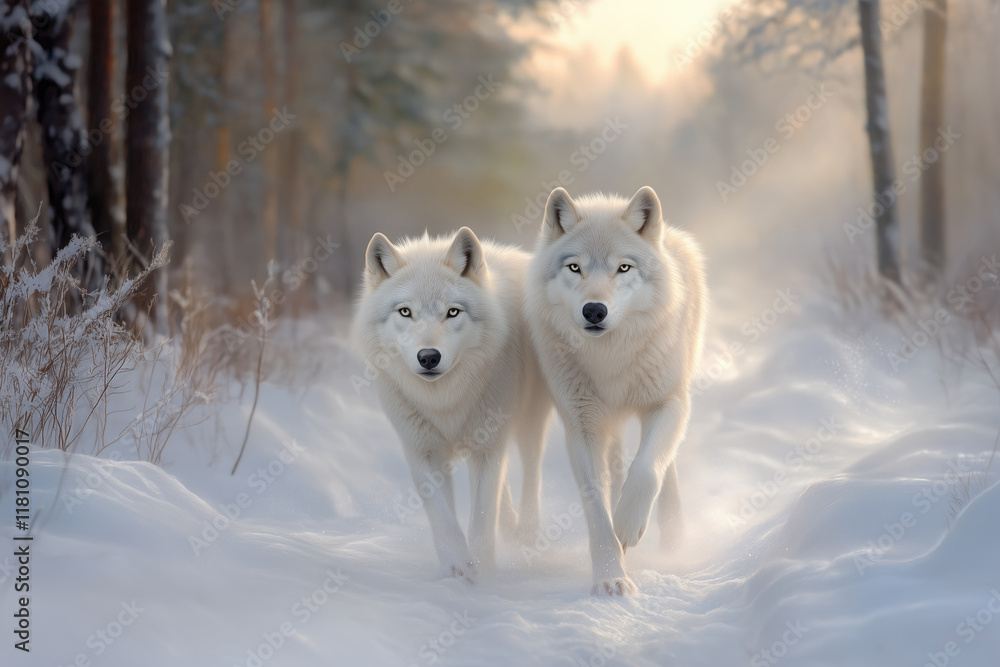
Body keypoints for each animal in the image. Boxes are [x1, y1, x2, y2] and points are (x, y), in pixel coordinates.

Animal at [351, 227, 551, 581]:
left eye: (452, 312)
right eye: (405, 312)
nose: (429, 357)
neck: (444, 401)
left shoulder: (487, 448)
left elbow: (482, 517)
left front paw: (483, 573)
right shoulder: (422, 451)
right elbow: (443, 518)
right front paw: (457, 567)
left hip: (528, 420)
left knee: (531, 470)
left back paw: (527, 535)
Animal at [525, 186, 707, 595]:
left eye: (623, 268)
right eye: (574, 267)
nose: (594, 310)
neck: (609, 358)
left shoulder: (669, 403)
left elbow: (647, 468)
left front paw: (627, 523)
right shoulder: (582, 428)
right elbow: (596, 508)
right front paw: (611, 577)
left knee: (665, 469)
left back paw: (673, 541)